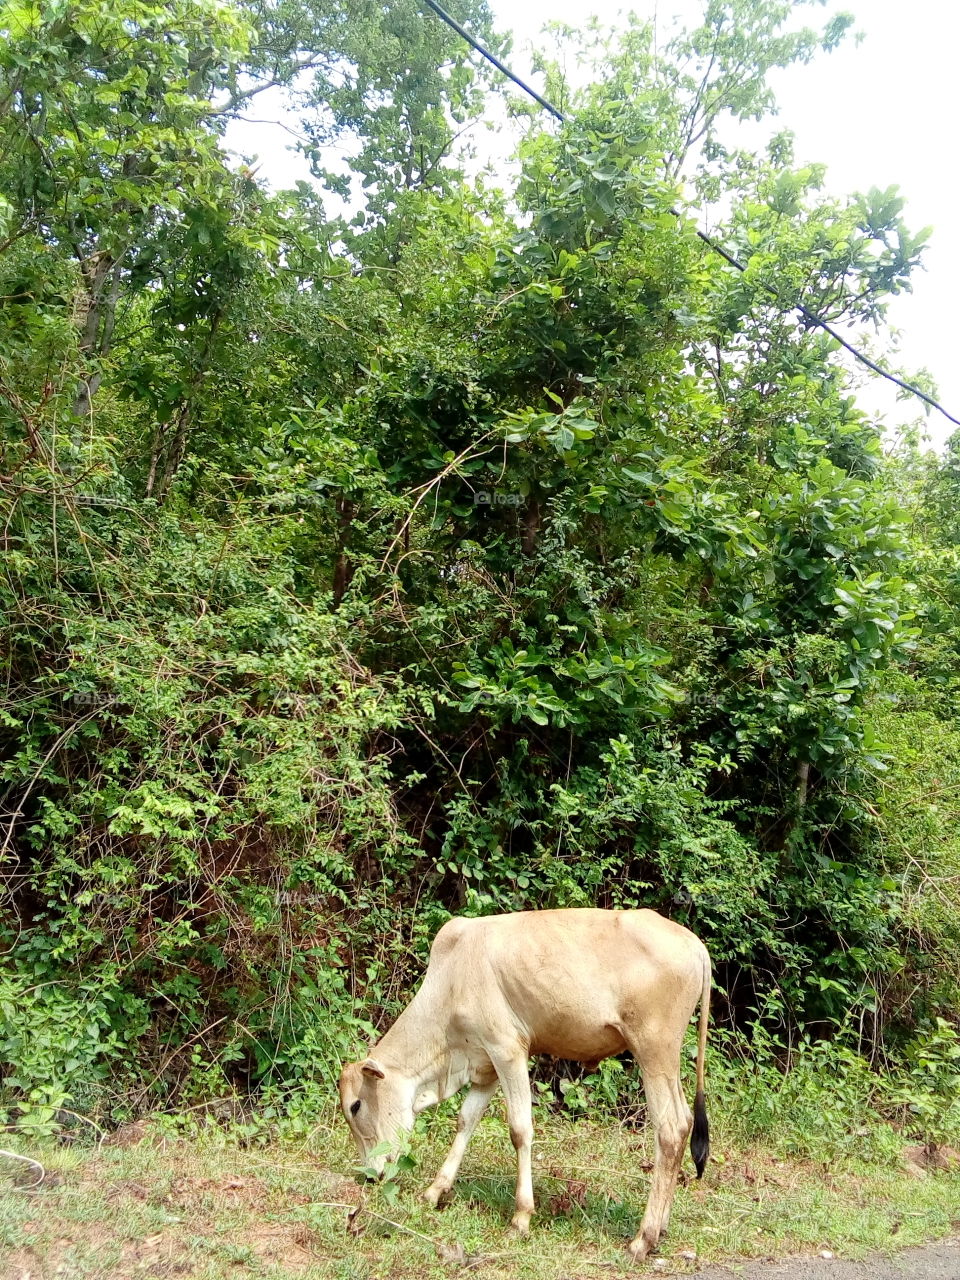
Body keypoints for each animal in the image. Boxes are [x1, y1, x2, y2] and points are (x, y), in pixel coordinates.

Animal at [339, 907, 710, 1262]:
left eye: (356, 1106)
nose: (370, 1175)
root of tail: (695, 944)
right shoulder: (485, 1065)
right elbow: (466, 1121)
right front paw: (434, 1191)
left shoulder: (508, 1050)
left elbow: (519, 1129)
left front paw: (521, 1218)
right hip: (667, 1058)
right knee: (685, 1122)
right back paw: (660, 1228)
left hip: (653, 1050)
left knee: (670, 1128)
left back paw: (642, 1240)